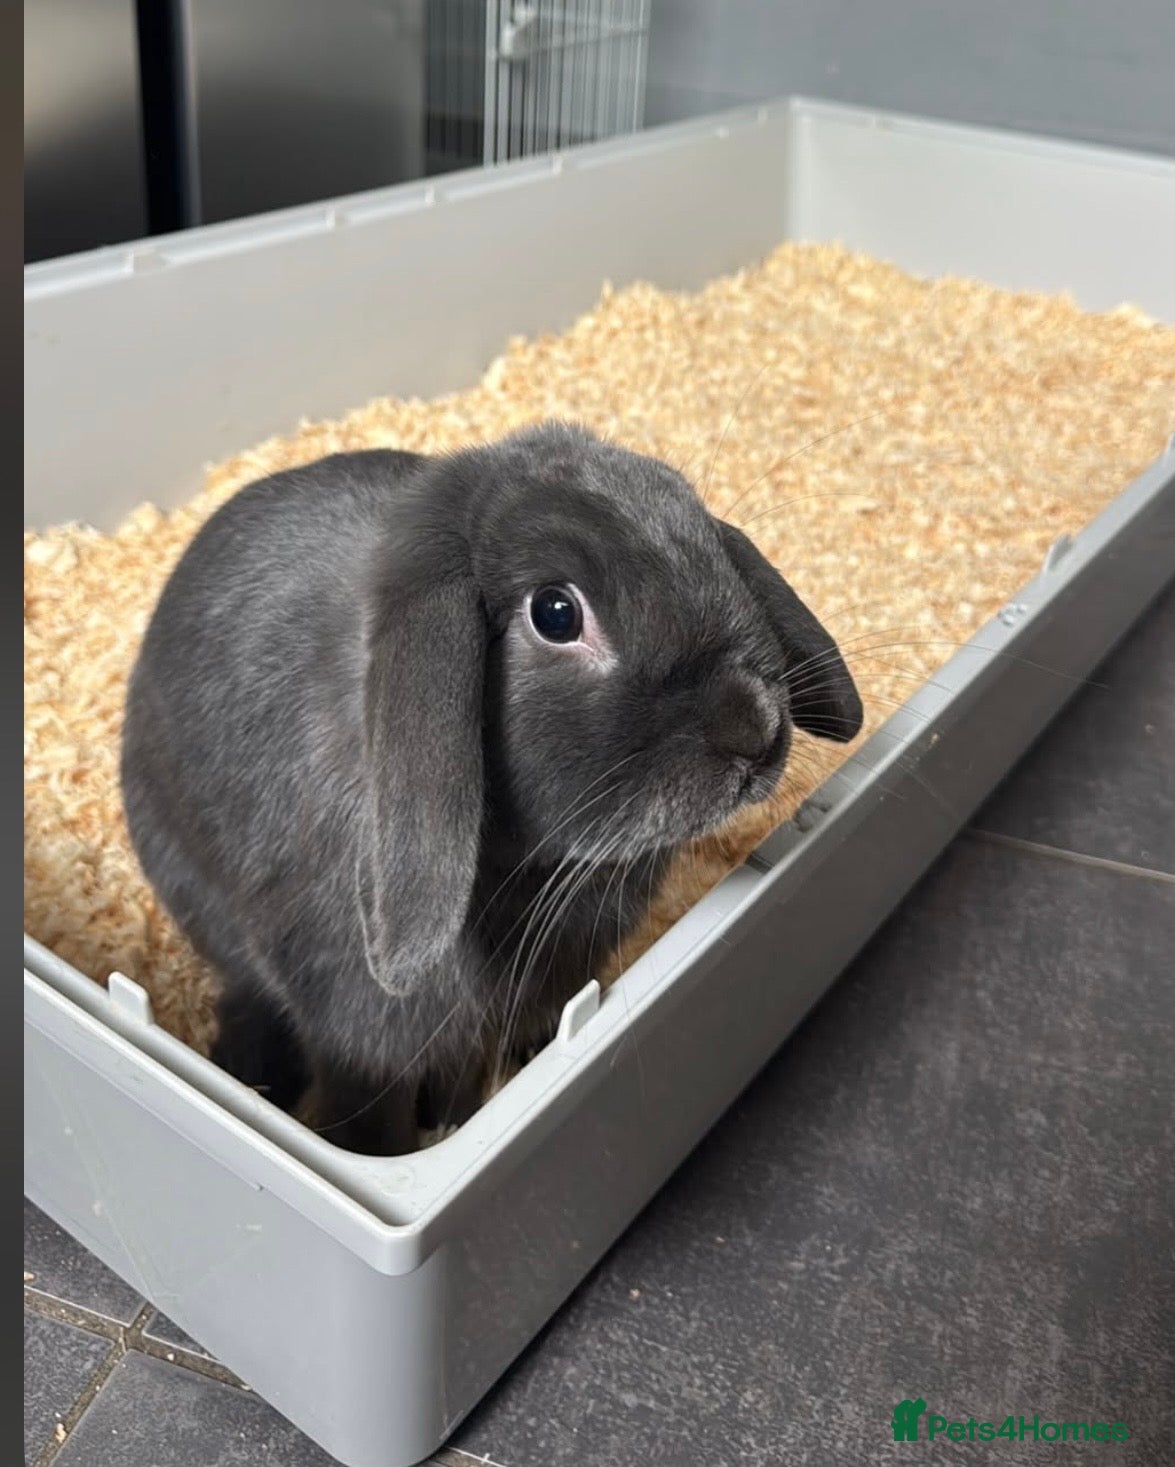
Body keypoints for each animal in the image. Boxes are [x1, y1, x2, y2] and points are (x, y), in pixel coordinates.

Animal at [121, 421, 863, 1155]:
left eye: (708, 543)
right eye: (556, 614)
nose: (755, 730)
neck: (528, 875)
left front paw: (460, 1109)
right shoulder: (363, 1032)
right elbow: (369, 1111)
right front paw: (382, 1145)